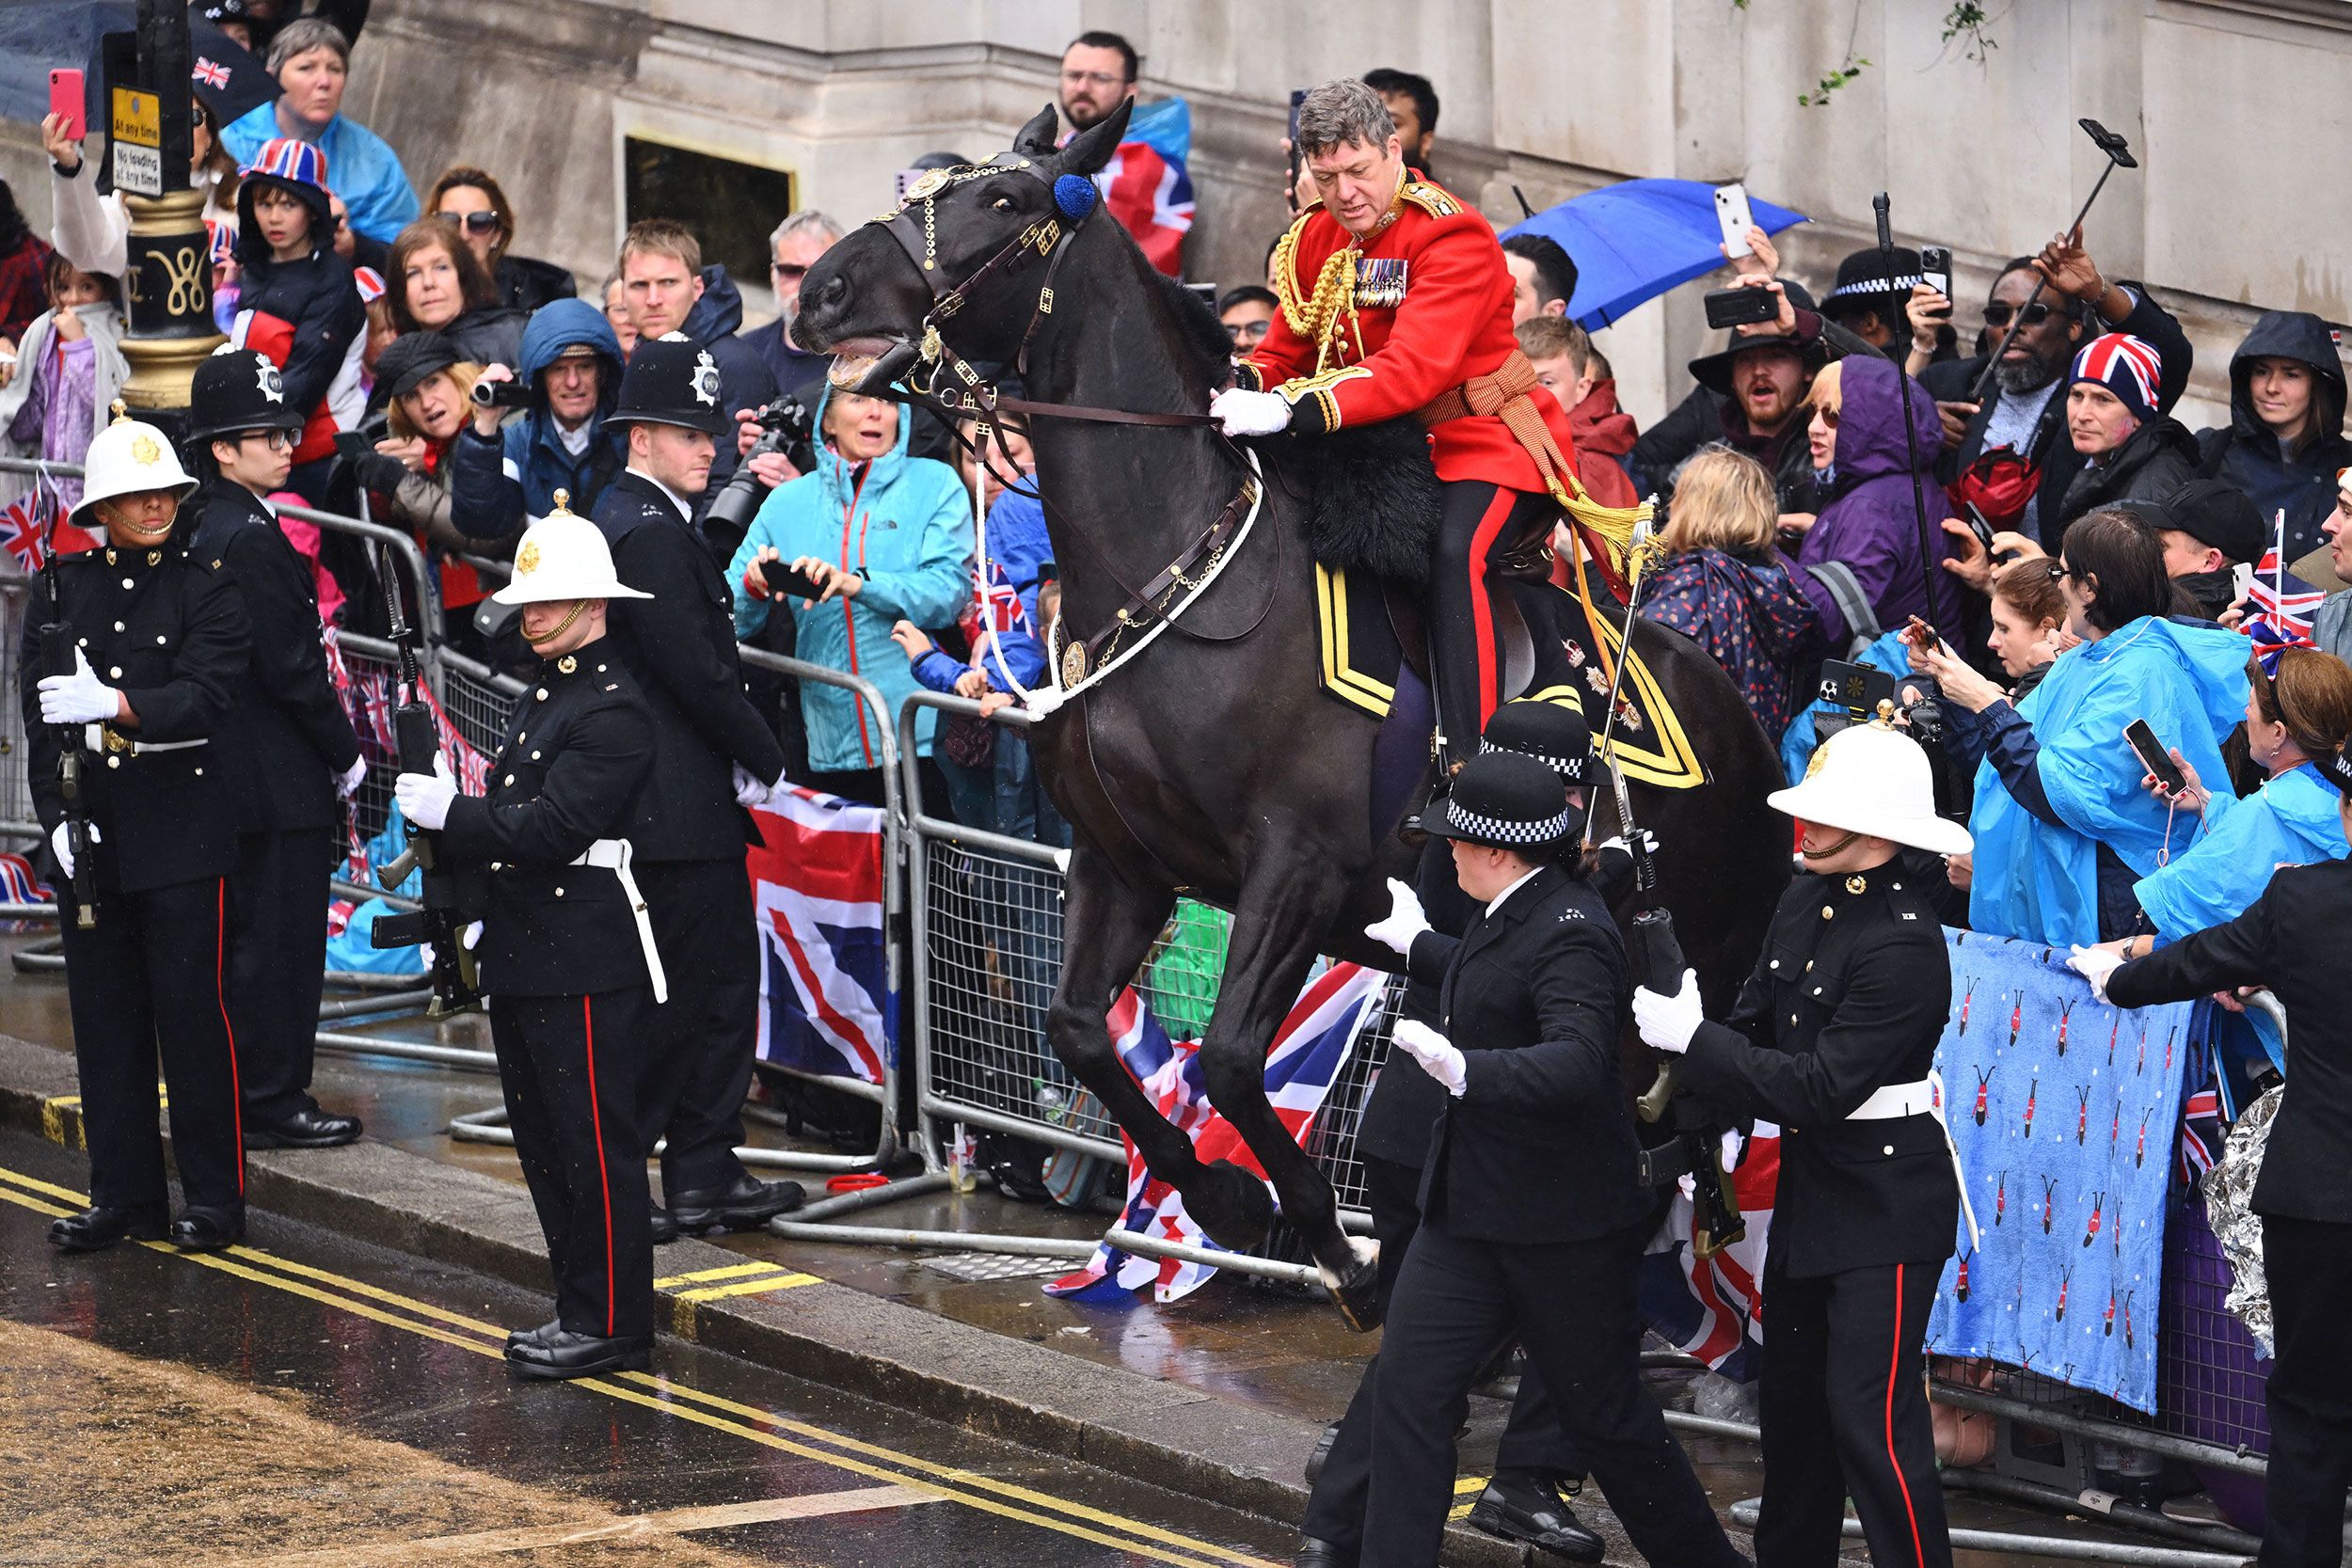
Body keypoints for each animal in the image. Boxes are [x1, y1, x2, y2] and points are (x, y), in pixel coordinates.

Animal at [790, 101, 1778, 1325]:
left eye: (1008, 201)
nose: (820, 288)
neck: (1184, 571)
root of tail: (1755, 733)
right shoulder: (1123, 863)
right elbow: (1078, 1030)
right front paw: (1223, 1197)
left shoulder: (1294, 871)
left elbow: (1222, 1056)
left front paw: (1321, 1239)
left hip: (1694, 966)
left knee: (1665, 1135)